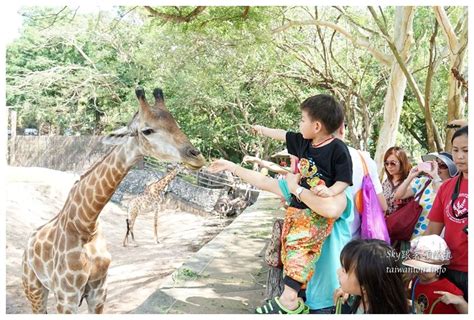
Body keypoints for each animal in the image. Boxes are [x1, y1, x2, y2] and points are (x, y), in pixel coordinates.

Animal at [21, 87, 205, 312]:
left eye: (175, 122)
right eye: (147, 130)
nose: (197, 156)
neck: (85, 225)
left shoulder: (99, 293)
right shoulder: (67, 297)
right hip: (34, 289)